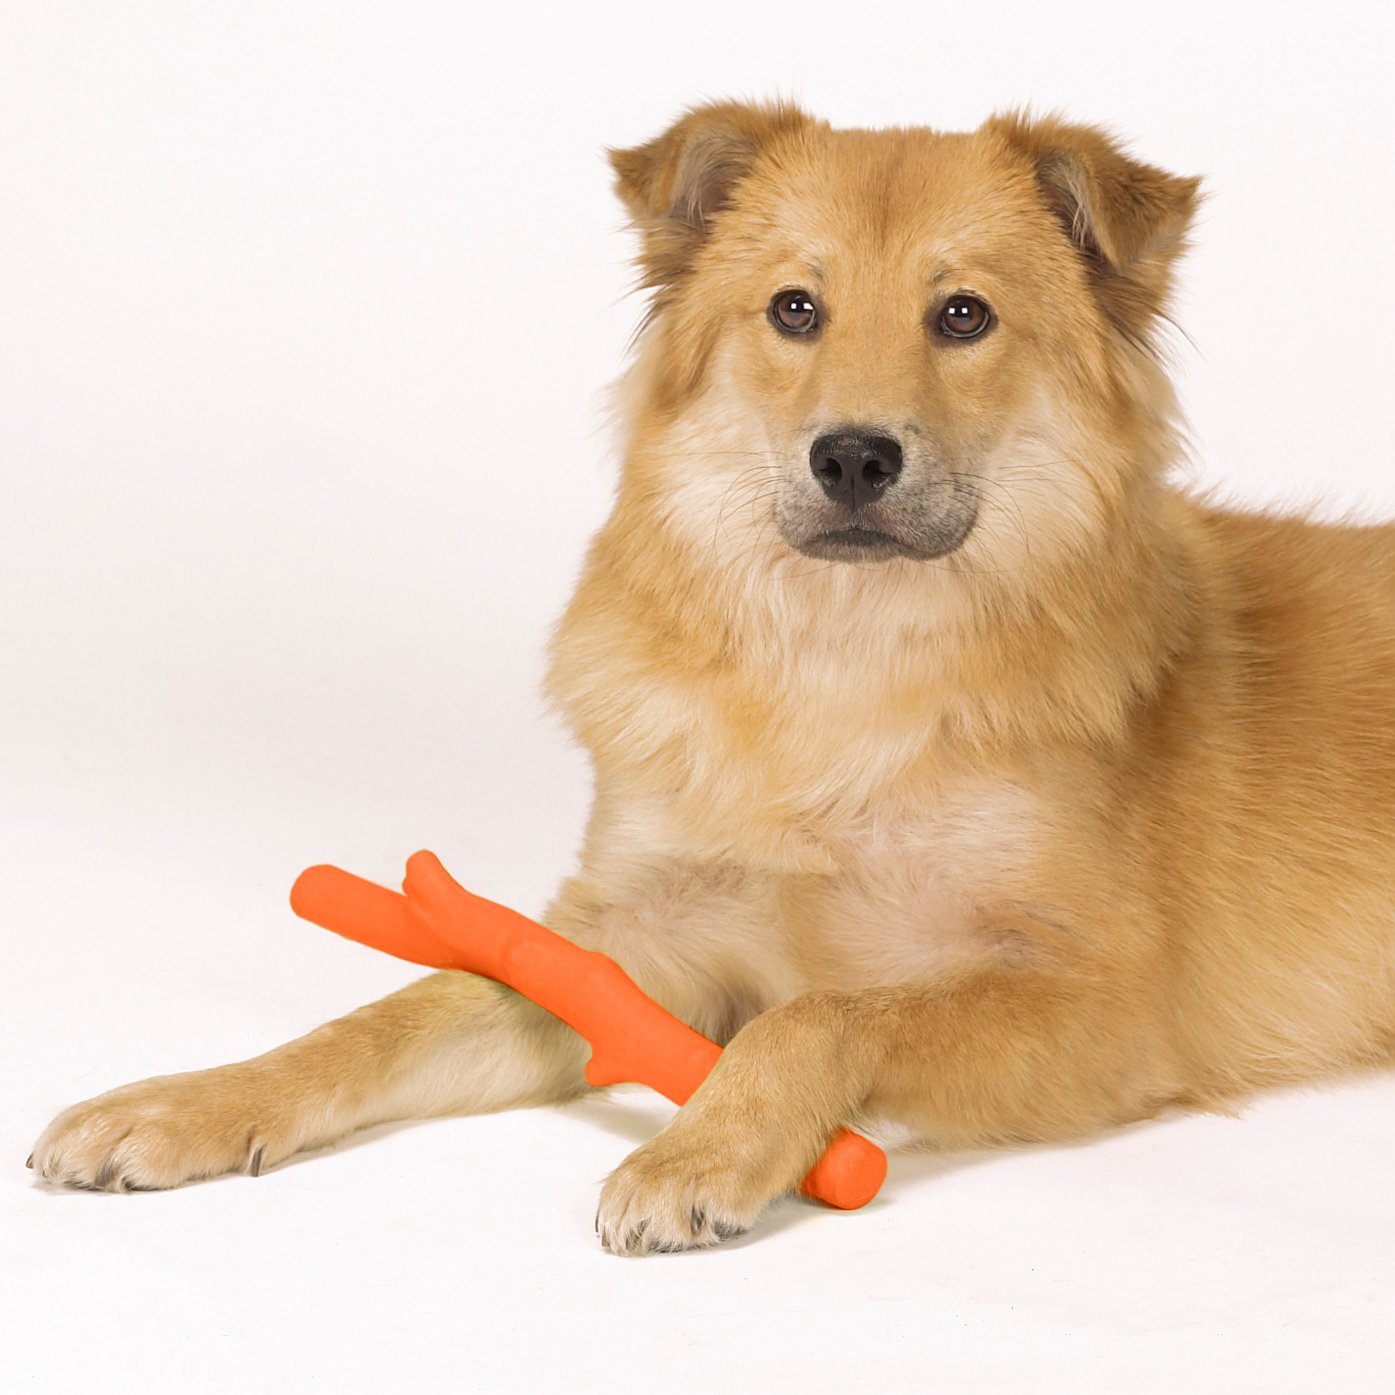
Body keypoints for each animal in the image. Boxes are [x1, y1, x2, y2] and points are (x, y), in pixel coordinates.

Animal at [29, 101, 1395, 1255]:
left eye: (963, 316)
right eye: (795, 310)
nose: (854, 457)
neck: (837, 666)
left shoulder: (1107, 1003)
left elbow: (830, 1011)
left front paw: (704, 1149)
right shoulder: (629, 943)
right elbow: (396, 1012)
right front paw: (193, 1100)